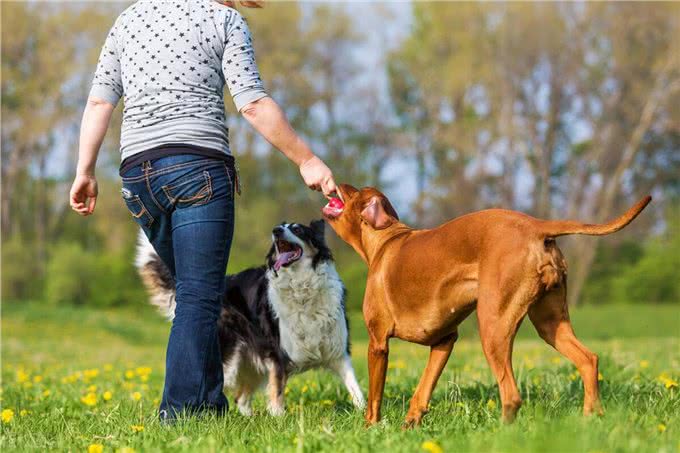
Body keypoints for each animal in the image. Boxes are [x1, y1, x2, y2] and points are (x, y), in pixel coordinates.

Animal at [135, 221, 364, 414]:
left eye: (298, 229)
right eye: (281, 226)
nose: (276, 230)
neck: (302, 285)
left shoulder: (338, 351)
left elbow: (355, 388)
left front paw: (365, 415)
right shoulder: (278, 355)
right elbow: (277, 394)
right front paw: (279, 420)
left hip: (252, 363)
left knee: (241, 399)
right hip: (230, 359)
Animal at [322, 184, 652, 428]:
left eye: (353, 191)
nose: (337, 182)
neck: (386, 240)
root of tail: (536, 226)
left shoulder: (378, 342)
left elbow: (374, 398)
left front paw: (371, 428)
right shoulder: (444, 341)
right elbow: (422, 391)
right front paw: (410, 424)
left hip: (493, 326)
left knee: (512, 395)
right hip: (550, 323)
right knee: (588, 360)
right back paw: (591, 419)